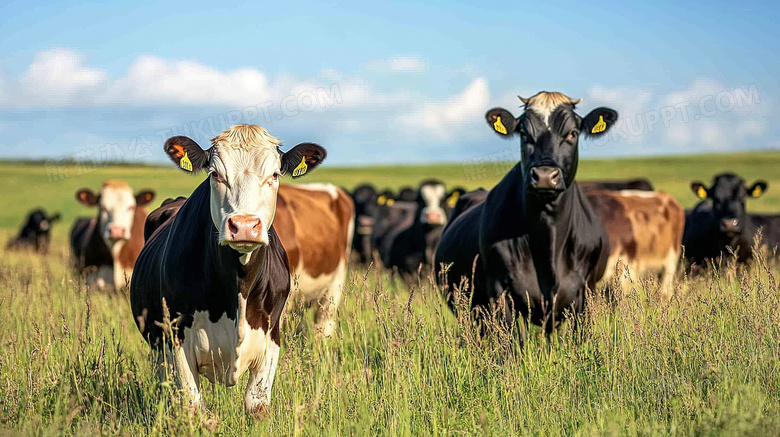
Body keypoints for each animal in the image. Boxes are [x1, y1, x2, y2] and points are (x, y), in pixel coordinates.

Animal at [133, 122, 328, 418]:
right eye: (215, 174)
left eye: (274, 174)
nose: (244, 226)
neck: (239, 287)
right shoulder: (176, 339)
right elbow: (193, 405)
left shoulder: (271, 337)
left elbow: (256, 404)